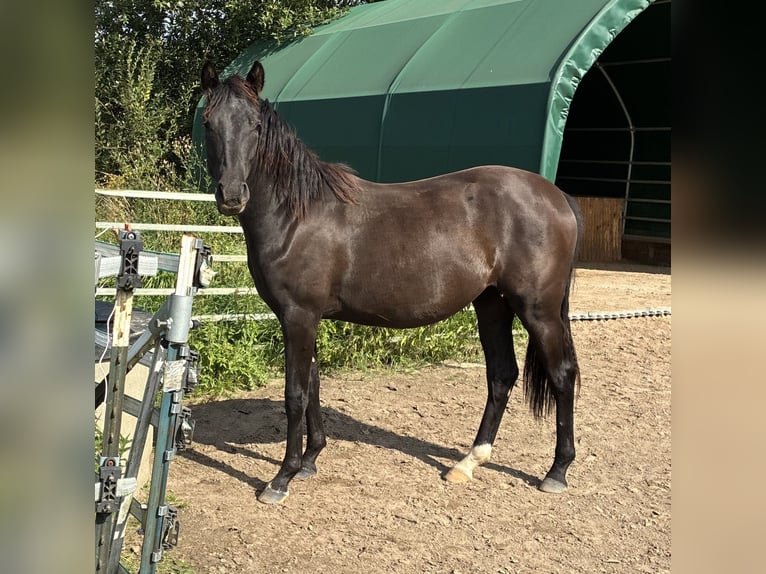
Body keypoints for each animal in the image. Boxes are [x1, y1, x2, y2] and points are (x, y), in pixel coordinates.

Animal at [200, 60, 583, 505]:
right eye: (208, 122)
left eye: (255, 124)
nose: (231, 195)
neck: (298, 214)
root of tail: (556, 195)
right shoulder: (306, 319)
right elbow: (313, 385)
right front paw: (311, 461)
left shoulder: (298, 317)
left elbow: (295, 395)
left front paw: (282, 477)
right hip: (491, 303)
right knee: (501, 375)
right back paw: (467, 464)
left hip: (538, 310)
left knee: (562, 376)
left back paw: (557, 471)